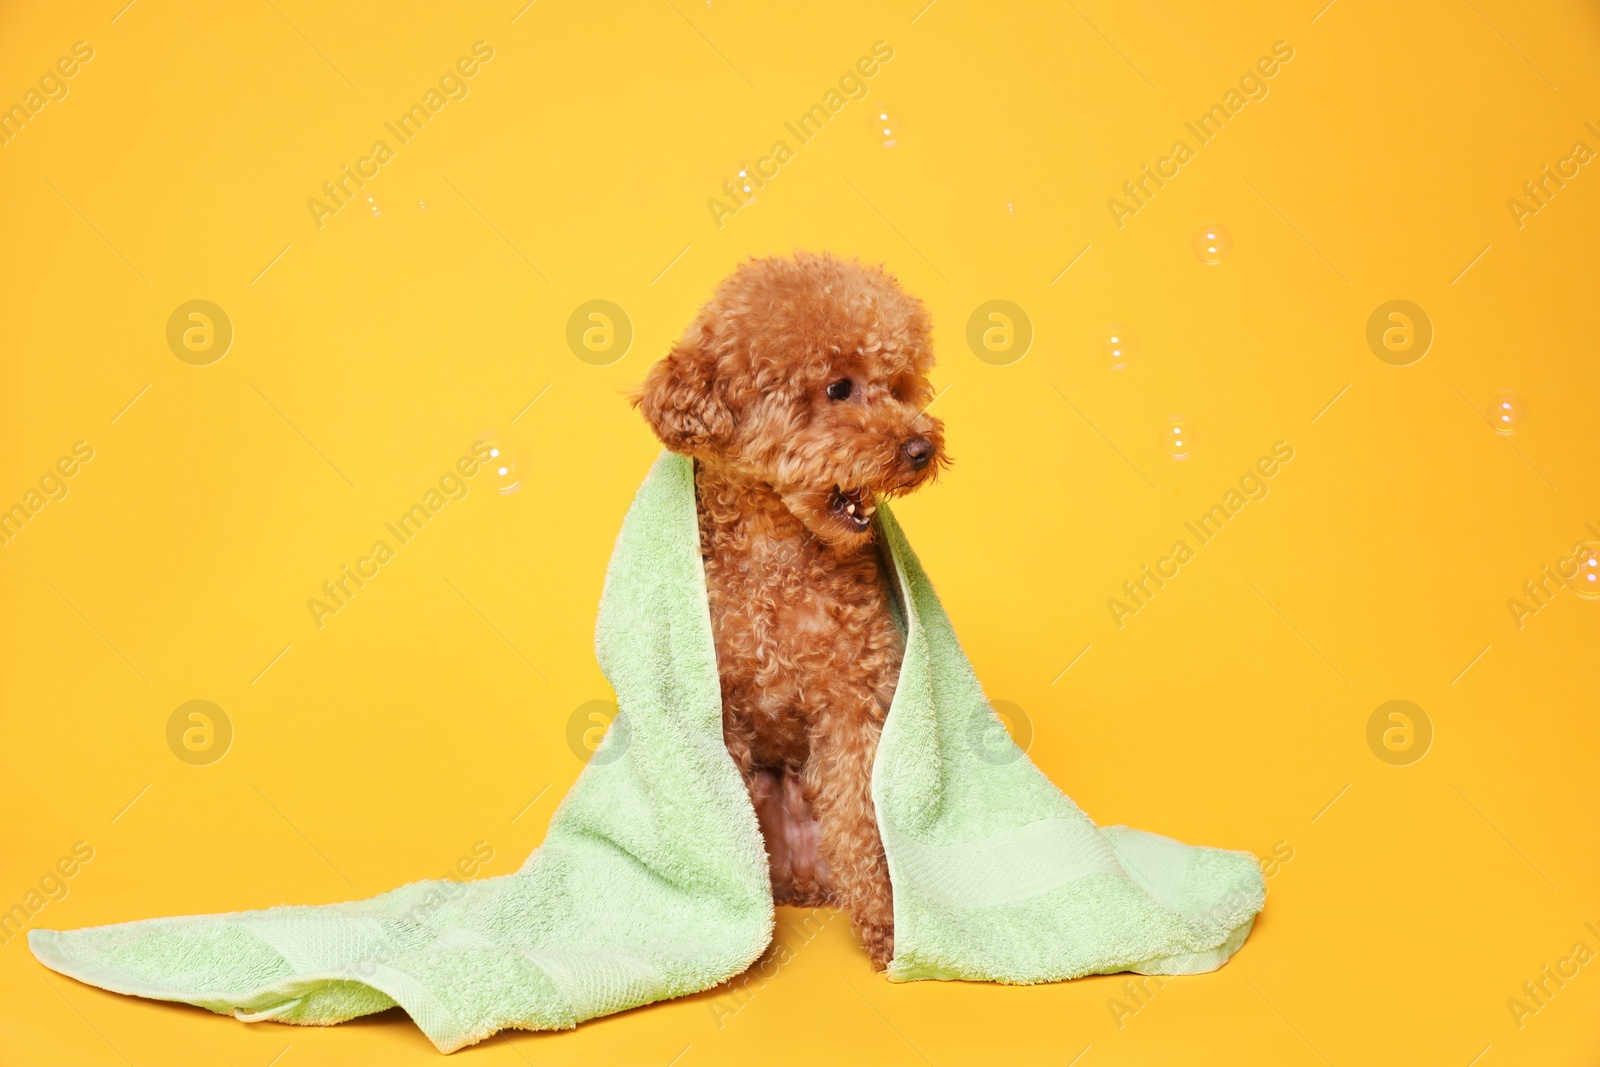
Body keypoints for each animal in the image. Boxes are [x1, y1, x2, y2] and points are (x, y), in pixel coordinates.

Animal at [630, 252, 940, 966]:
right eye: (838, 389)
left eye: (899, 386)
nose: (921, 449)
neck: (777, 556)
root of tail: (800, 880)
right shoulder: (717, 715)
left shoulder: (855, 703)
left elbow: (863, 821)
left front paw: (889, 928)